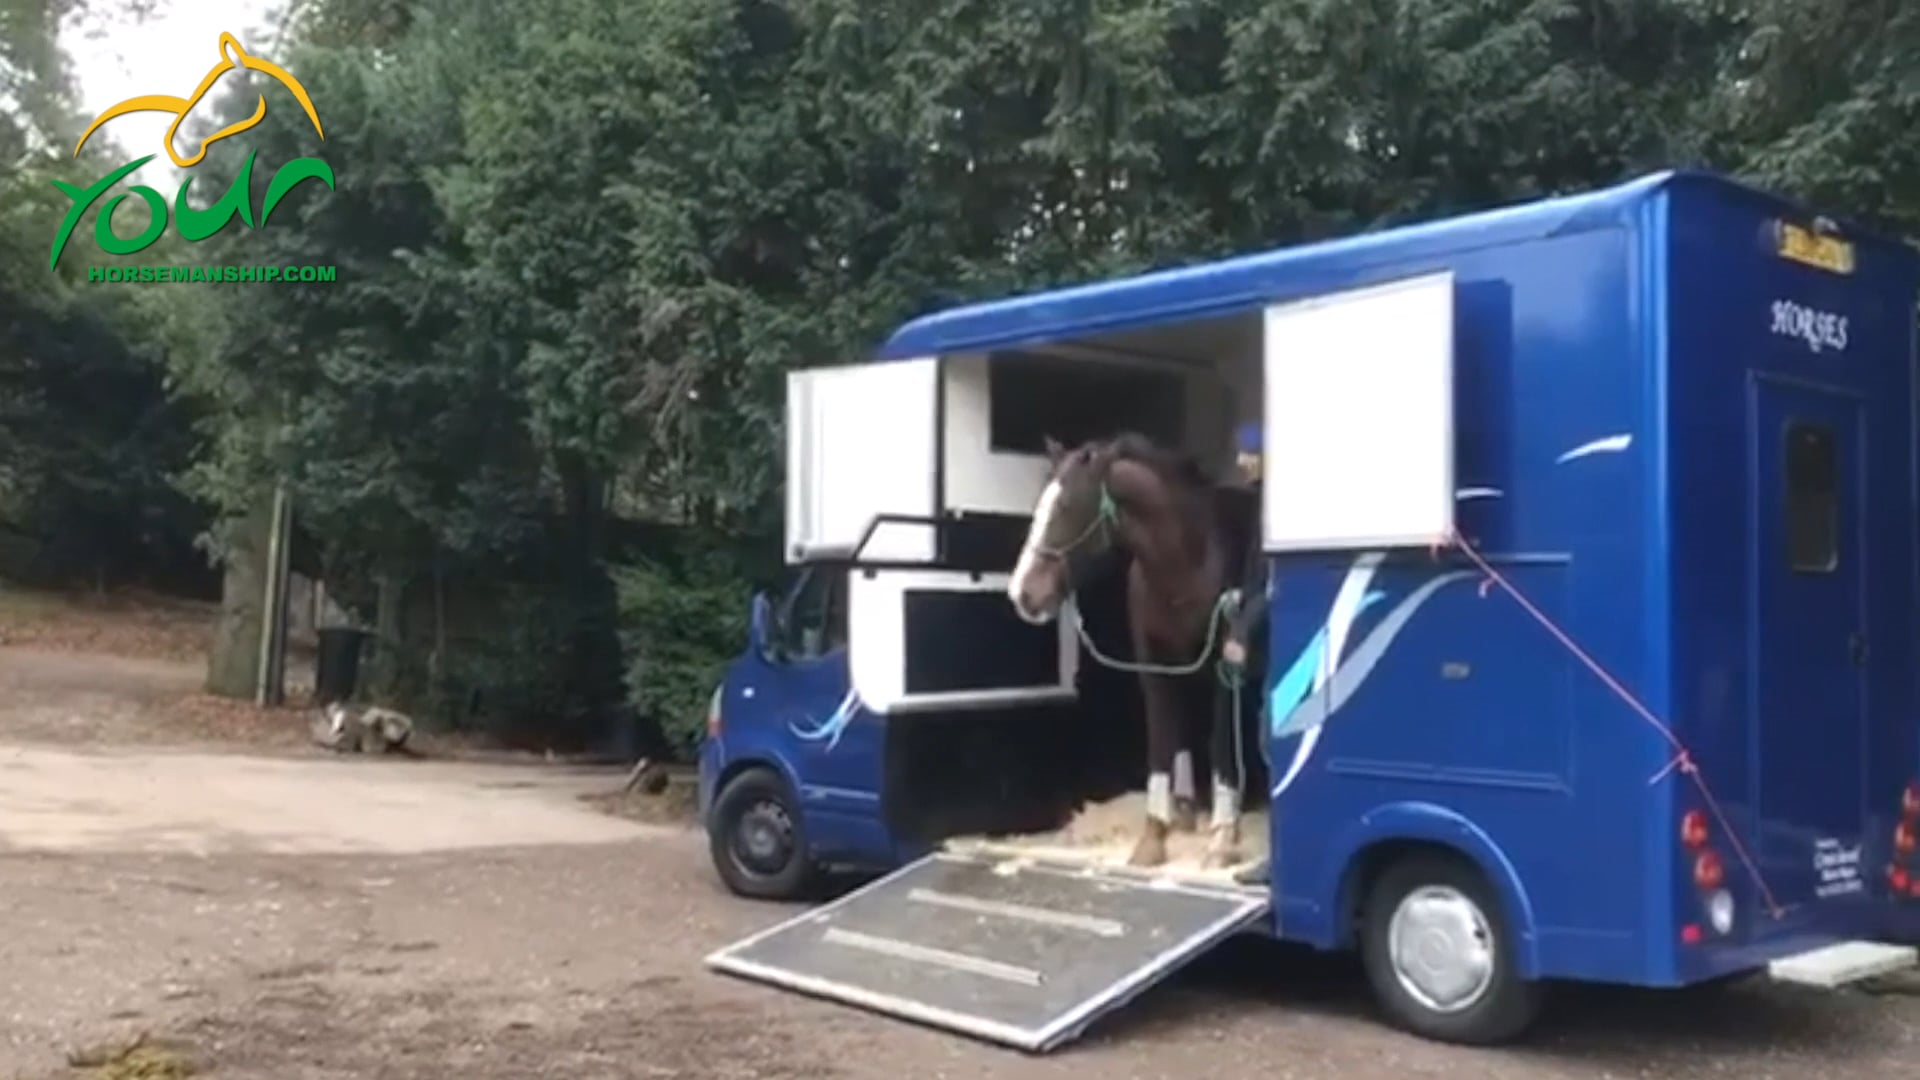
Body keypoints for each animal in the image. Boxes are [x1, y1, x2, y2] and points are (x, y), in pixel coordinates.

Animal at [1006, 430, 1259, 864]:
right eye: (1038, 506)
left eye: (1067, 506)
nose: (1023, 594)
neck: (1186, 563)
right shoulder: (1155, 664)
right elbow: (1161, 742)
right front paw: (1153, 839)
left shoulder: (1227, 667)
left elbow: (1222, 745)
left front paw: (1222, 839)